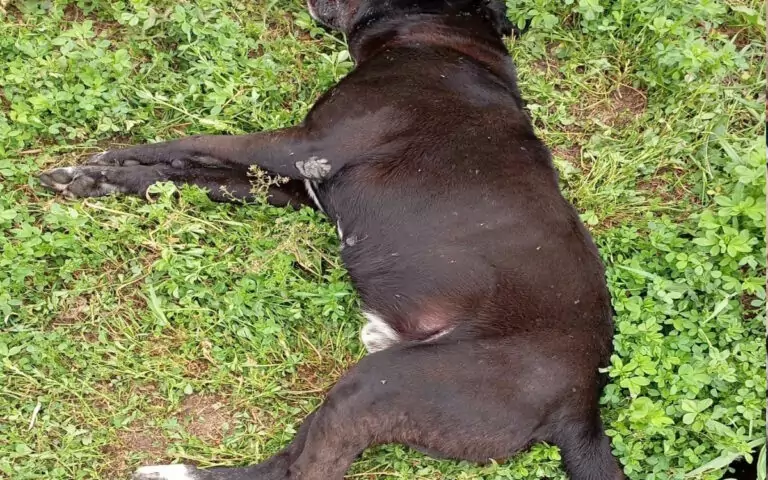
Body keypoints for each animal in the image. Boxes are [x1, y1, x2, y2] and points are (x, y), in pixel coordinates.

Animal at [39, 1, 624, 479]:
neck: (441, 37)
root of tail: (582, 406)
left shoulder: (303, 145)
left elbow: (191, 141)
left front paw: (112, 157)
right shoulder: (289, 184)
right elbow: (184, 174)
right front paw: (98, 179)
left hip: (382, 385)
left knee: (303, 469)